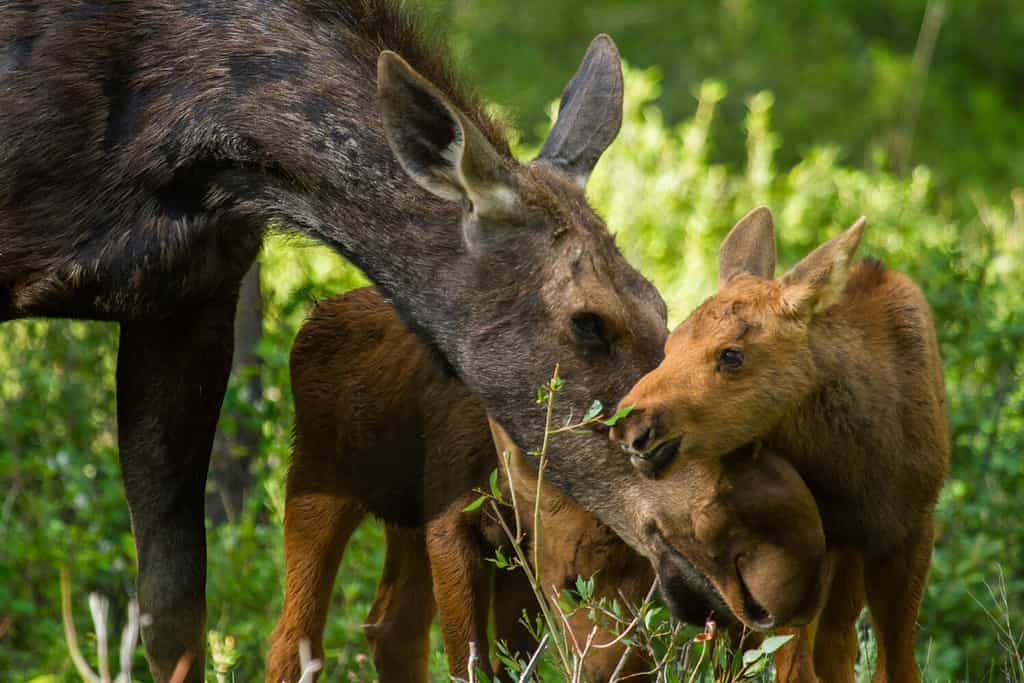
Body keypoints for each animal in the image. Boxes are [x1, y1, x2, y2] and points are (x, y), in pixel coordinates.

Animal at [267, 286, 832, 682]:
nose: (760, 609)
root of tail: (313, 318)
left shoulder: (514, 553)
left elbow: (513, 661)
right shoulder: (457, 523)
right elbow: (471, 661)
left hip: (404, 518)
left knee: (390, 629)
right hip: (317, 478)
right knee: (293, 637)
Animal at [610, 206, 950, 682]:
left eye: (732, 354)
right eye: (670, 343)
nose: (630, 424)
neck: (856, 474)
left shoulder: (912, 529)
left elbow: (897, 665)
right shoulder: (805, 555)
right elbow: (795, 666)